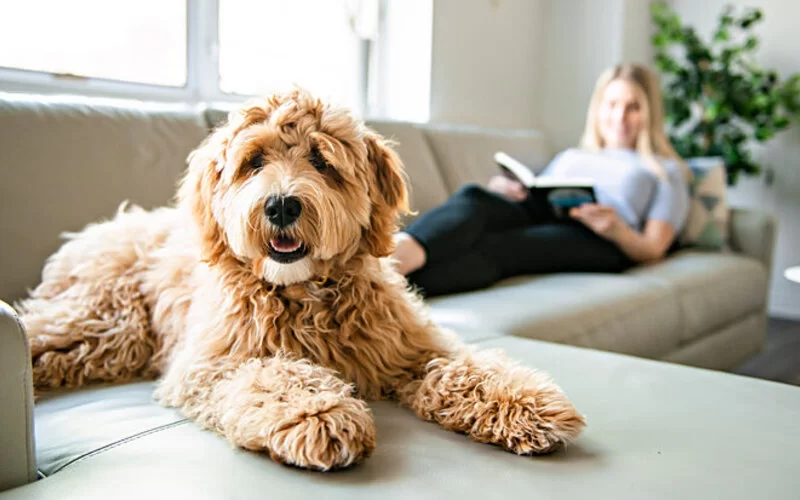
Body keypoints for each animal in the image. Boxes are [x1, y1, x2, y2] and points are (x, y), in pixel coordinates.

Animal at [17, 89, 580, 468]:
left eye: (321, 160)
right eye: (253, 161)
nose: (282, 204)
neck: (305, 292)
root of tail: (97, 229)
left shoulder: (411, 348)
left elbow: (465, 367)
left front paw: (525, 402)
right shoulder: (212, 365)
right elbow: (274, 376)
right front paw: (318, 413)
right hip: (106, 323)